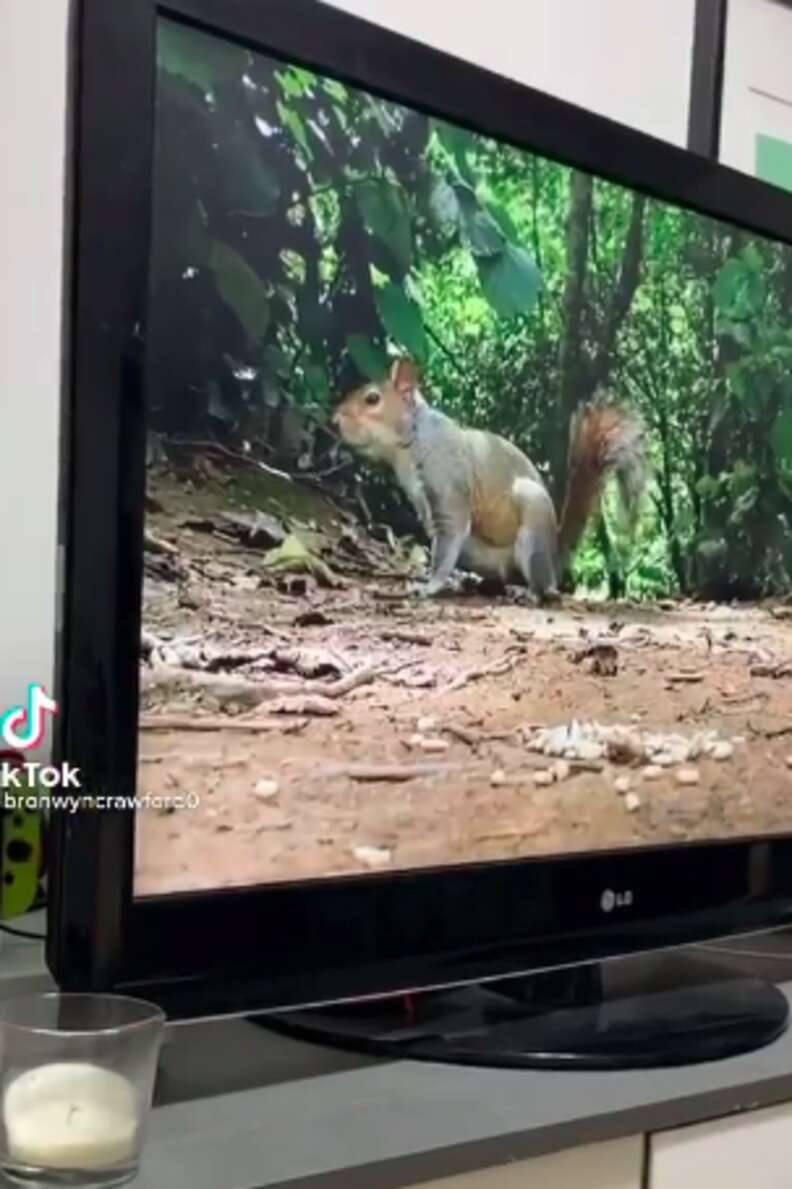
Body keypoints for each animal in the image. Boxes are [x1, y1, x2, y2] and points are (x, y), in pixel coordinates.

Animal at [332, 357, 648, 599]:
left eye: (372, 399)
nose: (334, 421)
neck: (412, 440)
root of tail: (555, 558)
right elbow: (440, 540)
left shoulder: (448, 479)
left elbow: (449, 533)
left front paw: (430, 586)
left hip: (533, 526)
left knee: (545, 586)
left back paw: (530, 592)